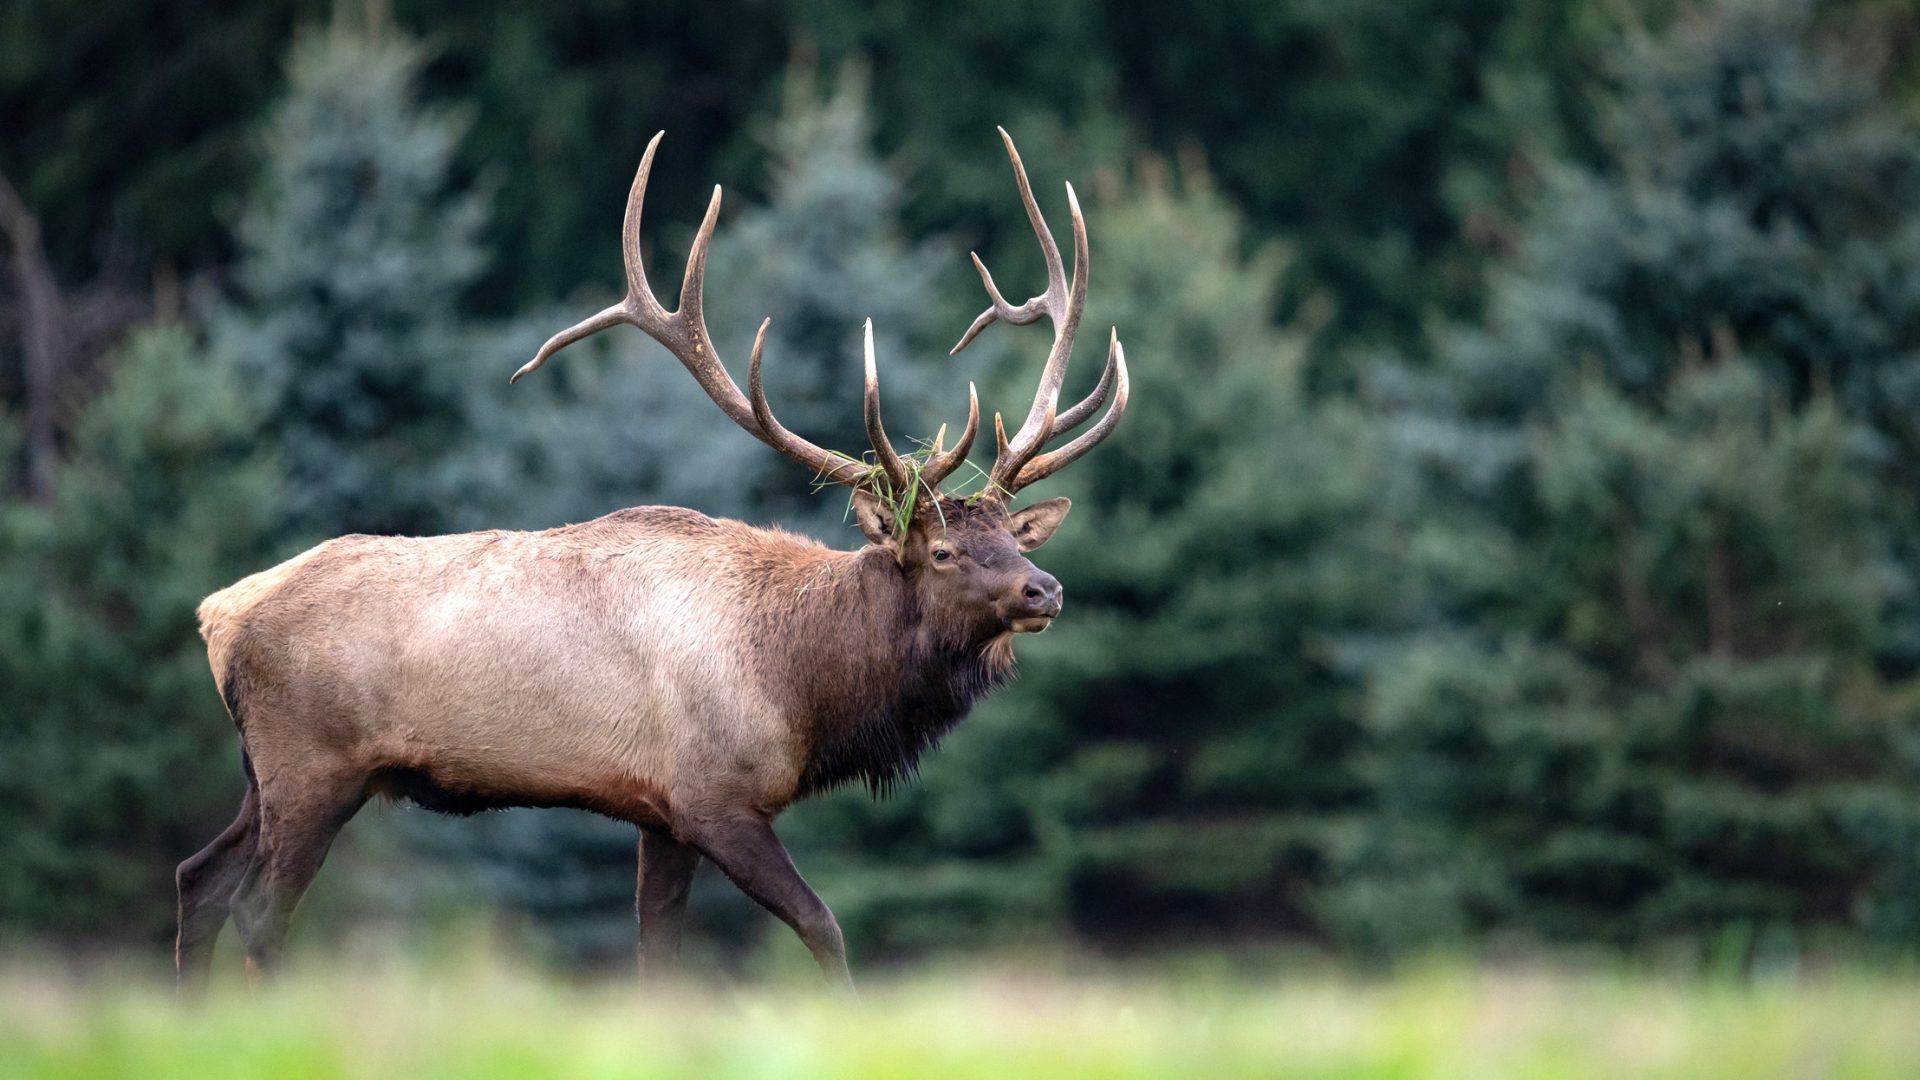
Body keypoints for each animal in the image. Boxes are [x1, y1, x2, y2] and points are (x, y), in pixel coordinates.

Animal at [174, 127, 1128, 991]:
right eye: (942, 549)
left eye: (1010, 537)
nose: (1045, 589)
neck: (801, 683)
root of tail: (219, 613)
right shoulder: (713, 797)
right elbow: (824, 926)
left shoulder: (659, 814)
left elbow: (658, 958)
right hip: (313, 766)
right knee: (257, 912)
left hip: (266, 773)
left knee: (198, 879)